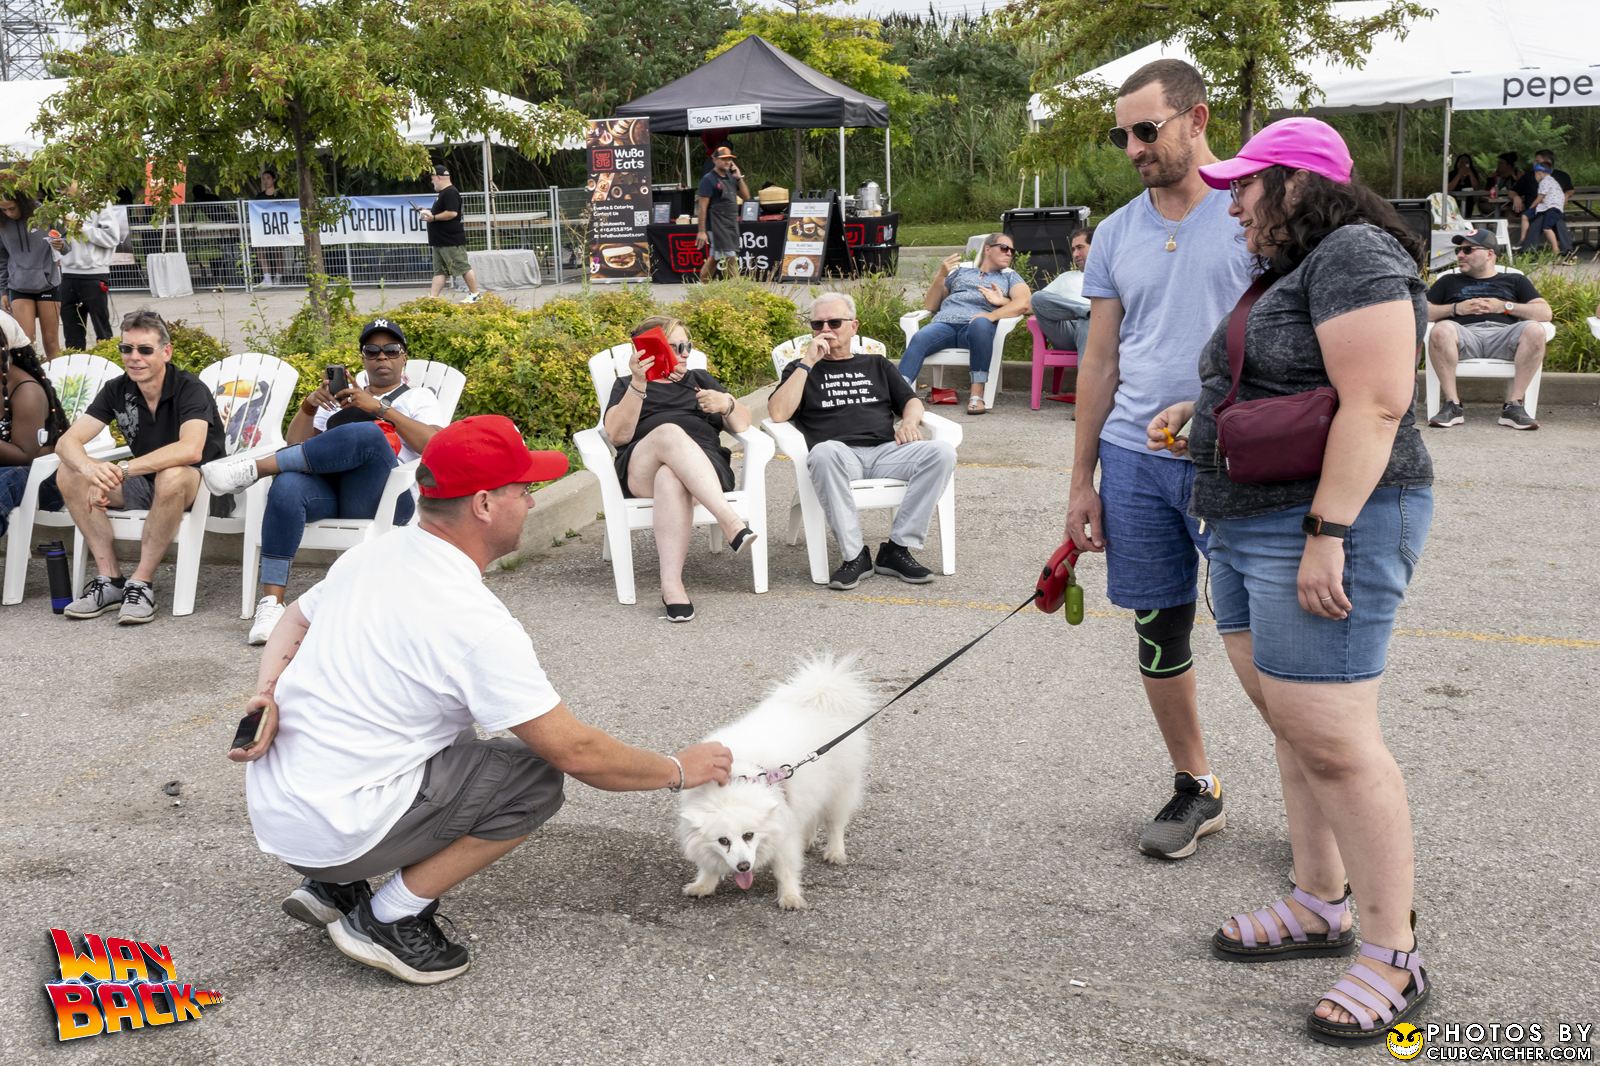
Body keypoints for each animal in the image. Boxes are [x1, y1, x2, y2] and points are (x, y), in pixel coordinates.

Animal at [678, 656, 876, 902]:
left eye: (749, 835)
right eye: (723, 841)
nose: (744, 866)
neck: (734, 786)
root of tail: (820, 695)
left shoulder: (784, 834)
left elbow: (786, 870)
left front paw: (790, 897)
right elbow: (709, 866)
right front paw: (703, 884)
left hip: (840, 789)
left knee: (835, 824)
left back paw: (835, 851)